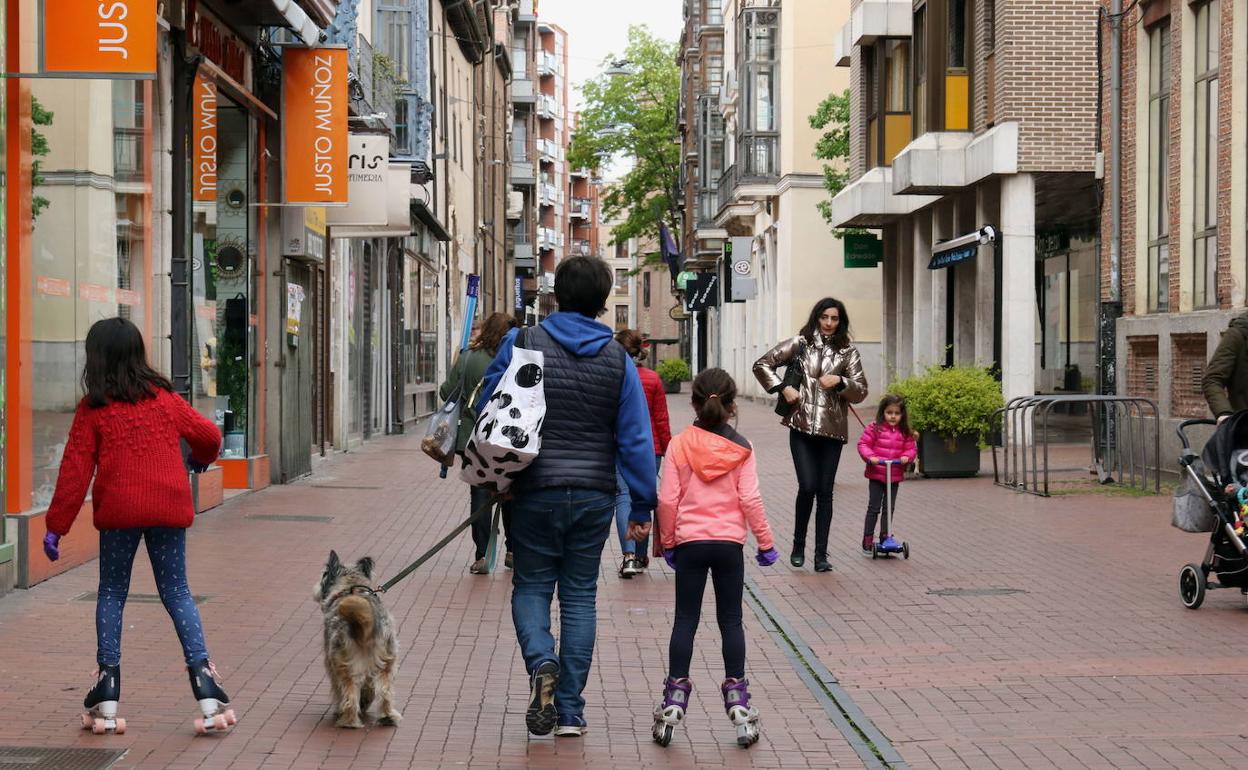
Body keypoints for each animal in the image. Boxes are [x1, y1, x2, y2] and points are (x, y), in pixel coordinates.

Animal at [314, 549, 401, 723]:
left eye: (324, 575)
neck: (349, 585)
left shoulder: (330, 662)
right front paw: (366, 701)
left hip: (341, 662)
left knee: (348, 692)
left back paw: (348, 719)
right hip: (387, 661)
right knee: (385, 690)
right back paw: (387, 716)